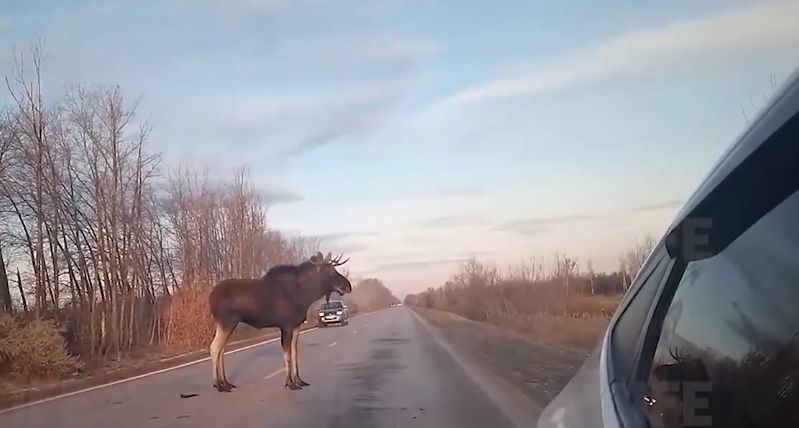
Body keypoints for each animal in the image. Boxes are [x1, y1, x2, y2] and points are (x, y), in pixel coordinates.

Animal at [208, 252, 351, 392]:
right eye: (330, 271)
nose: (348, 286)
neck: (305, 294)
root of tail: (210, 297)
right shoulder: (286, 326)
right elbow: (287, 355)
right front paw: (290, 383)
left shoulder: (296, 326)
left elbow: (294, 353)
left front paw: (299, 380)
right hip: (227, 322)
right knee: (215, 348)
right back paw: (218, 384)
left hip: (228, 324)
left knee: (221, 350)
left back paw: (225, 382)